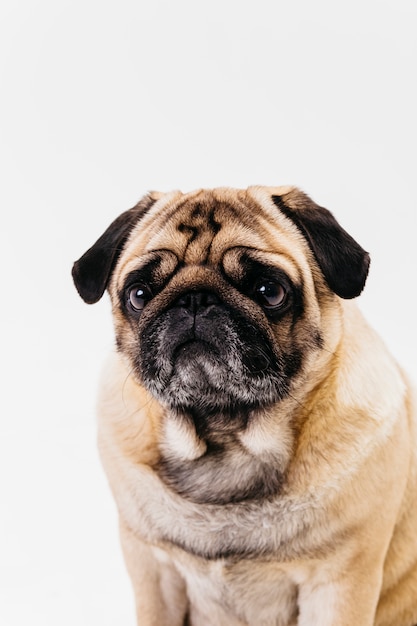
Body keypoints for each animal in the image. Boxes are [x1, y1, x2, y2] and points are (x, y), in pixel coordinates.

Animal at [71, 185, 416, 624]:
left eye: (270, 291)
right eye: (139, 294)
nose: (195, 299)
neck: (226, 434)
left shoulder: (339, 583)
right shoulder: (153, 571)